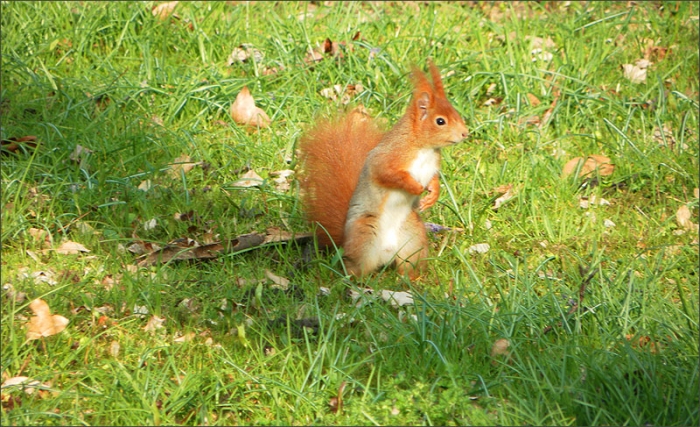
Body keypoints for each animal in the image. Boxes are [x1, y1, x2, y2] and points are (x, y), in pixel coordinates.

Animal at [298, 60, 468, 280]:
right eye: (440, 121)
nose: (465, 133)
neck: (423, 148)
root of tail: (387, 254)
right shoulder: (387, 160)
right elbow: (390, 175)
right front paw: (416, 188)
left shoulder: (432, 166)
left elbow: (434, 179)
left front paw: (432, 195)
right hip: (364, 238)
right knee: (357, 268)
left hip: (412, 239)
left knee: (408, 266)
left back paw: (413, 280)